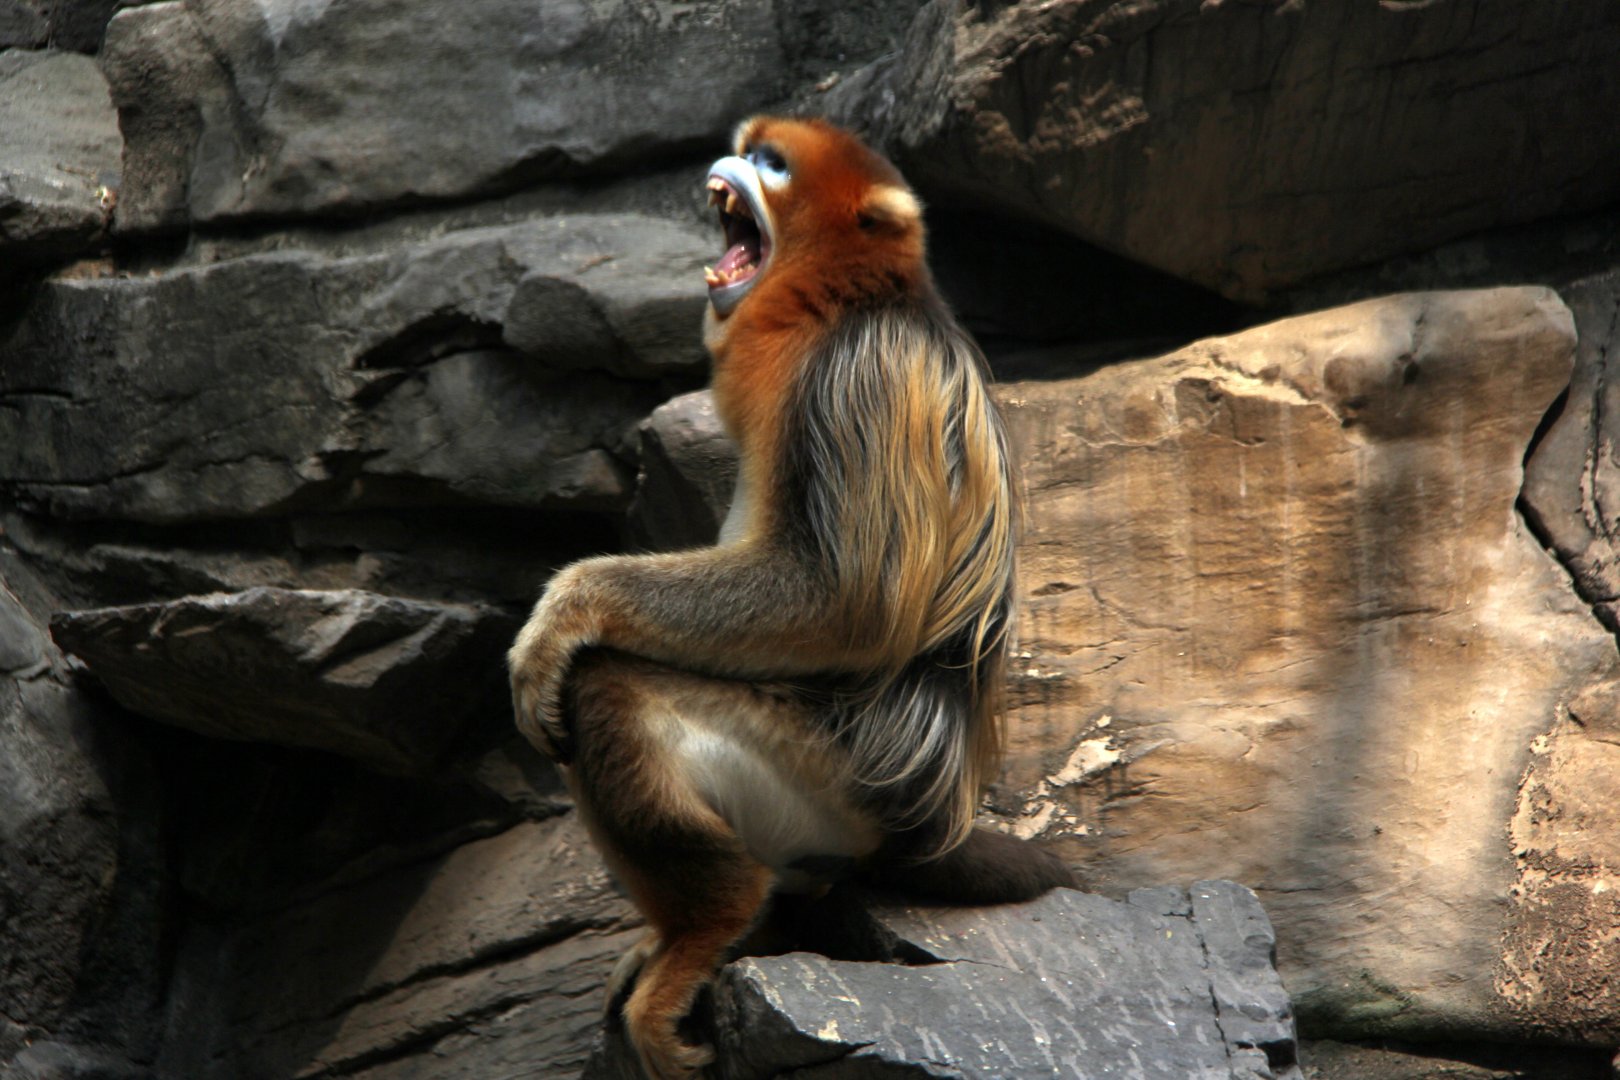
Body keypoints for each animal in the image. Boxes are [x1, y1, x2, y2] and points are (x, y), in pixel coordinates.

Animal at [508, 116, 1074, 1080]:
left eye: (771, 165)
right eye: (749, 149)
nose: (728, 166)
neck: (837, 303)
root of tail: (931, 825)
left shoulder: (861, 376)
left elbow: (844, 602)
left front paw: (568, 607)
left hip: (824, 778)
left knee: (604, 685)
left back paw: (709, 928)